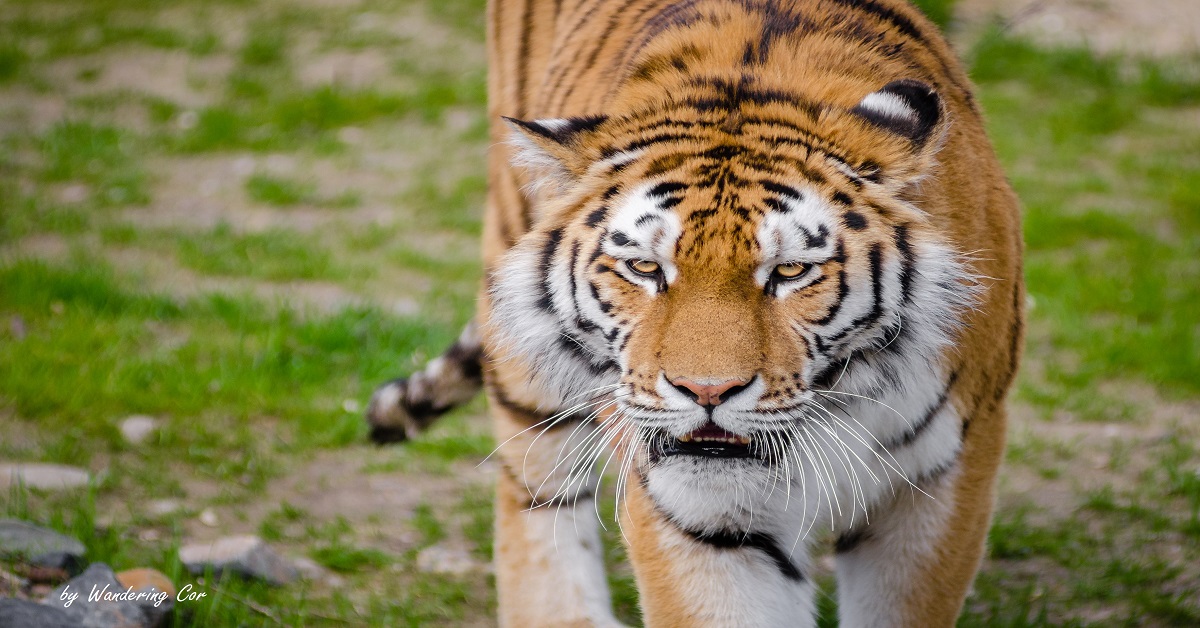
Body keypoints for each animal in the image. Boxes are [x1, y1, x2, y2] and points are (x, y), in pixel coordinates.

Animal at [362, 0, 1022, 624]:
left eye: (789, 272)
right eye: (645, 268)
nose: (706, 391)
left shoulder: (943, 482)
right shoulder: (694, 512)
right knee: (534, 485)